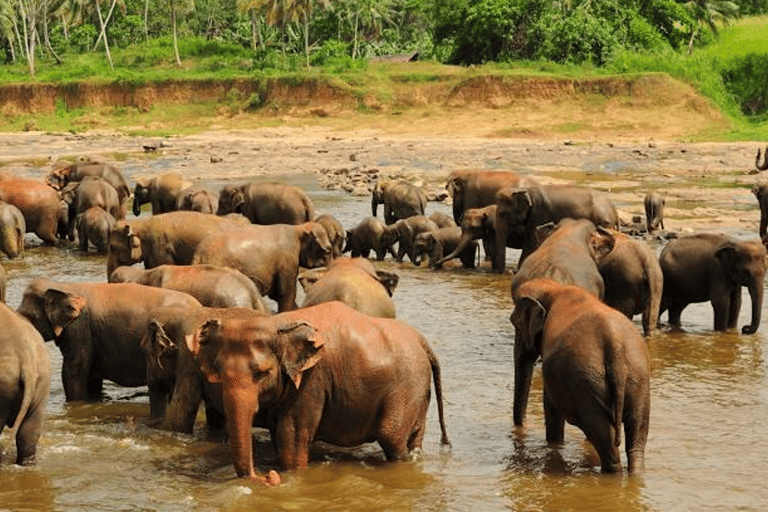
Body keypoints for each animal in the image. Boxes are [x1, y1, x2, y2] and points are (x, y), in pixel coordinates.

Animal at [185, 301, 451, 482]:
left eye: (262, 374)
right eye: (218, 374)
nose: (268, 476)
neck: (276, 324)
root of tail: (422, 341)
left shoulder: (311, 381)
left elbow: (291, 441)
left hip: (407, 386)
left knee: (392, 437)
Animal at [191, 222, 332, 312]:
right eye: (328, 250)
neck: (297, 228)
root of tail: (198, 254)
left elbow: (277, 294)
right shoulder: (287, 260)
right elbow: (286, 292)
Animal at [510, 278, 651, 474]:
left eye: (515, 324)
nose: (524, 427)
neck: (553, 287)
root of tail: (614, 344)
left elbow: (551, 407)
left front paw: (554, 443)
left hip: (584, 384)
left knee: (604, 436)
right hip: (637, 378)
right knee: (636, 436)